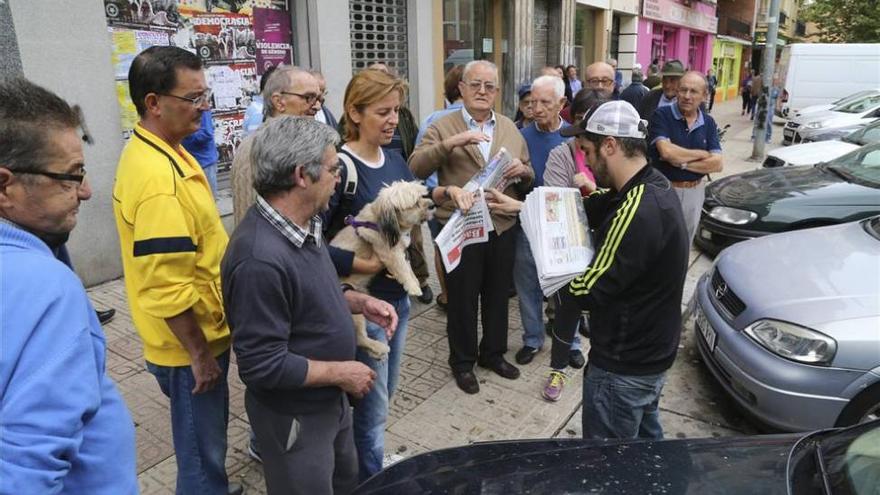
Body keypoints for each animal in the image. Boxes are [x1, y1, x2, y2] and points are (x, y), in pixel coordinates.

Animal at [330, 180, 434, 358]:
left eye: (423, 196)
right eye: (415, 203)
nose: (433, 205)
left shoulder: (400, 251)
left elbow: (409, 269)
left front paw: (414, 281)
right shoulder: (390, 254)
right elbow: (402, 269)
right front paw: (413, 287)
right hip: (355, 315)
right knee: (359, 338)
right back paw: (379, 347)